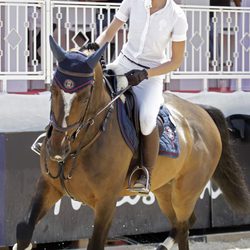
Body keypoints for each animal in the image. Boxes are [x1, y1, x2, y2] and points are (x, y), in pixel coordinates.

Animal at [12, 36, 250, 250]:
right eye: (52, 90)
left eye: (84, 96)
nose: (57, 148)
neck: (82, 142)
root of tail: (202, 111)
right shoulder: (48, 186)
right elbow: (24, 230)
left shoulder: (106, 202)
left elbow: (96, 244)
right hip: (164, 189)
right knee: (182, 224)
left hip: (186, 191)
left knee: (183, 226)